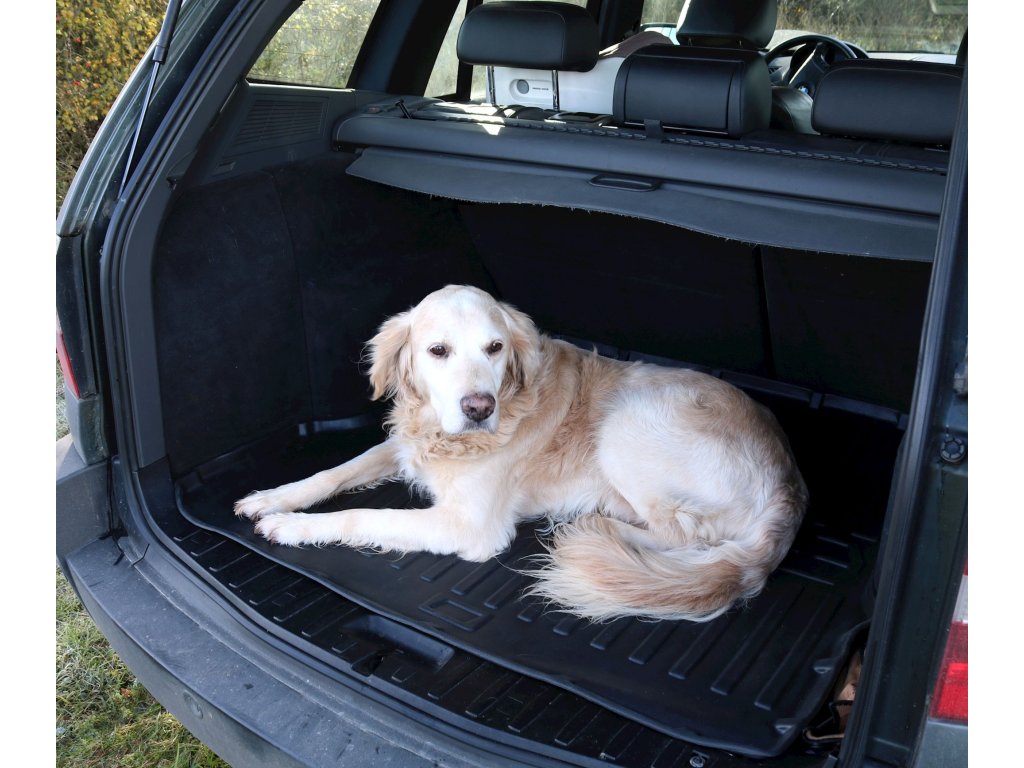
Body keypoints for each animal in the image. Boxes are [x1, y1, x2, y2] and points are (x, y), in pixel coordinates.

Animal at [235, 285, 808, 622]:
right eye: (437, 351)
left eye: (495, 348)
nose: (478, 407)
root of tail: (792, 486)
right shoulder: (401, 445)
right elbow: (334, 473)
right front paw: (273, 497)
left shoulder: (471, 526)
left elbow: (363, 516)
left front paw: (292, 527)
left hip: (627, 424)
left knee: (684, 535)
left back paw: (596, 526)